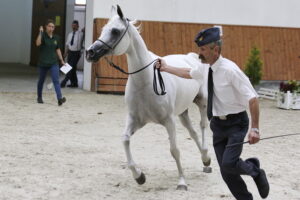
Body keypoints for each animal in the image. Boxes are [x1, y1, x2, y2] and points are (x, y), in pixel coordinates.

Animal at [85, 4, 210, 189]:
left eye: (115, 31)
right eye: (103, 29)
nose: (90, 52)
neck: (145, 81)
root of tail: (191, 58)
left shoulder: (169, 121)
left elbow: (174, 150)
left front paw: (182, 181)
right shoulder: (136, 120)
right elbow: (125, 140)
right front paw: (139, 176)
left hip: (201, 101)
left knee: (202, 126)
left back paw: (206, 158)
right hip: (182, 112)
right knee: (193, 132)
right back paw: (204, 159)